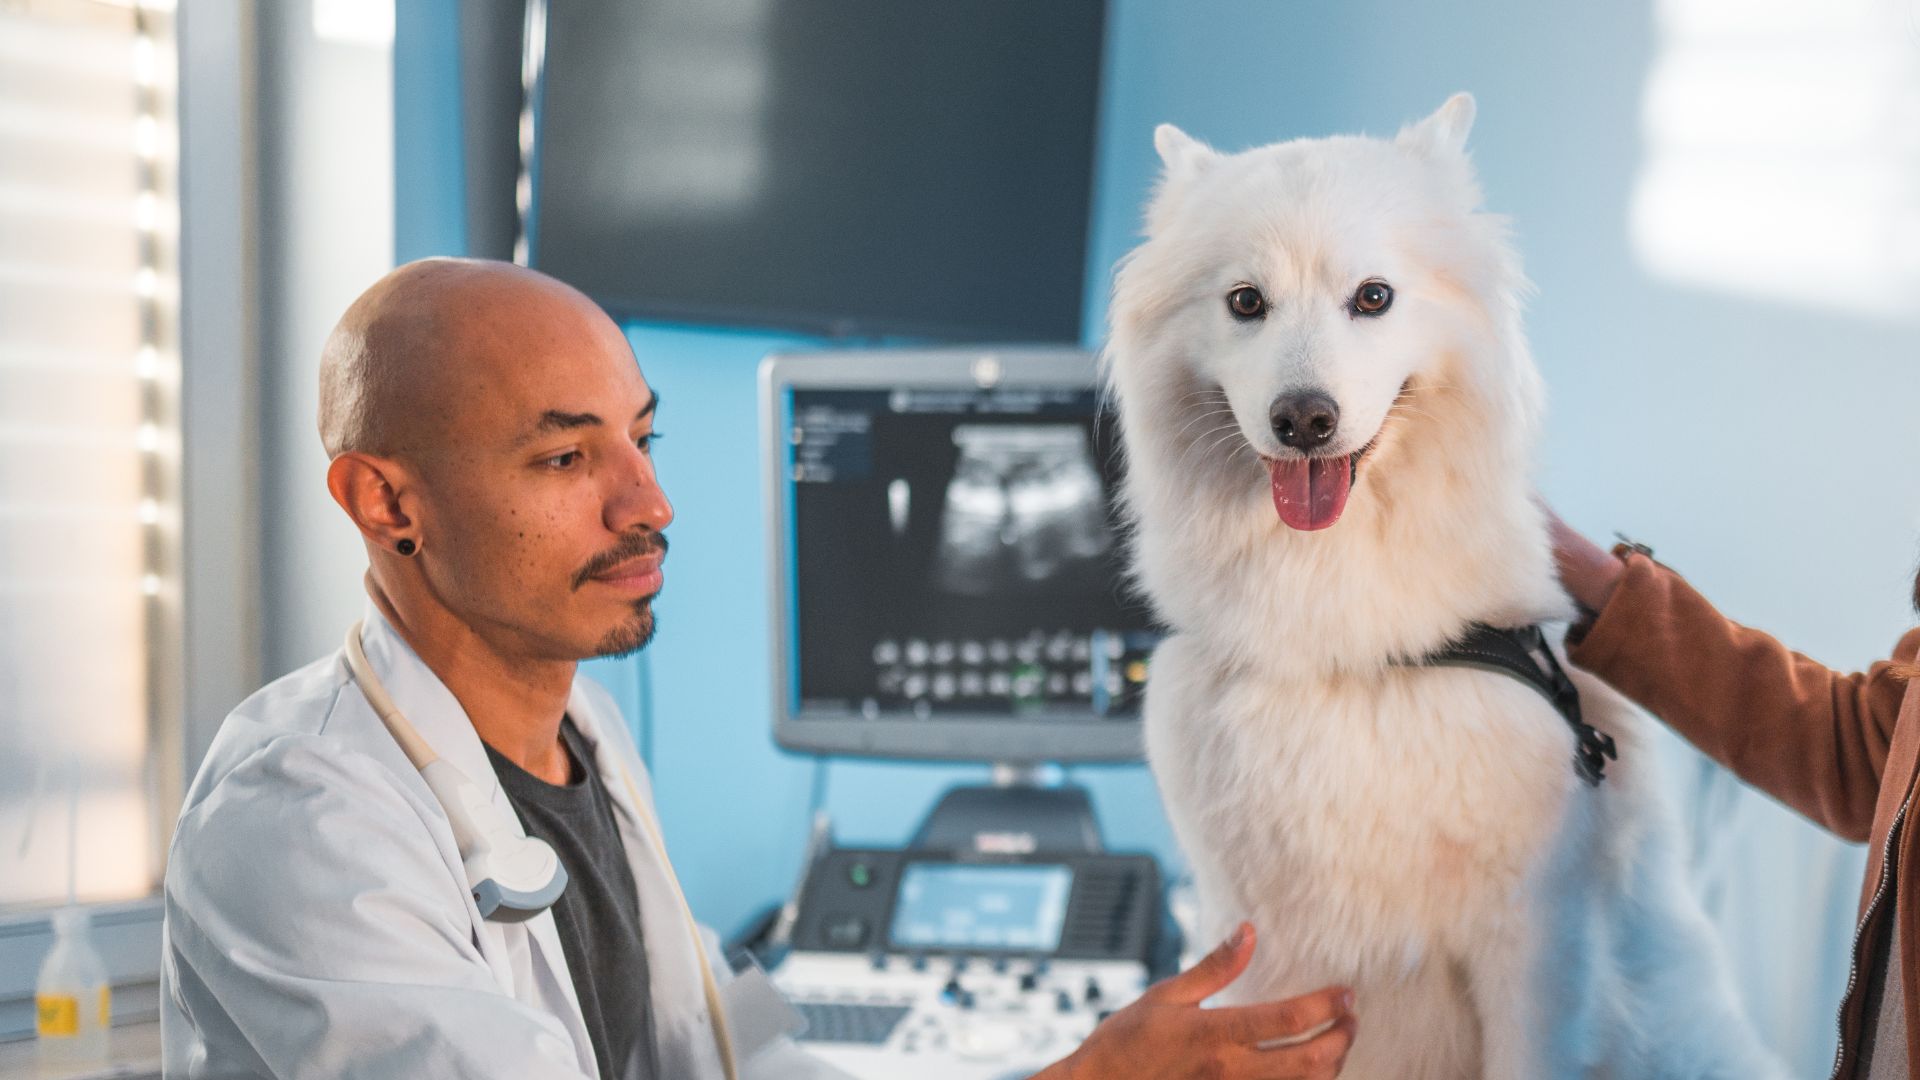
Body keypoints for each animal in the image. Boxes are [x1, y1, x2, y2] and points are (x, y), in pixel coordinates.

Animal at [1105, 94, 1789, 1076]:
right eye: (1245, 302)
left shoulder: (1533, 950)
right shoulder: (1271, 959)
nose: (1304, 419)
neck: (1354, 649)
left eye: (1373, 297)